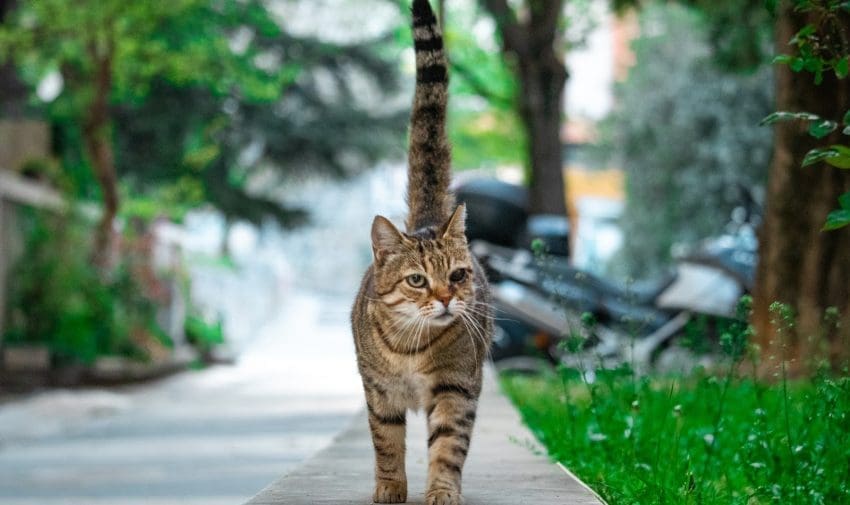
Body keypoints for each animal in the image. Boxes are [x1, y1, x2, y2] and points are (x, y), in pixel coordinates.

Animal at [350, 0, 494, 504]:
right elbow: (386, 443)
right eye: (417, 280)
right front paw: (391, 486)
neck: (411, 348)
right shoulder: (379, 392)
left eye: (457, 276)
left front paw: (442, 491)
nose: (447, 299)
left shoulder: (457, 389)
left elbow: (448, 446)